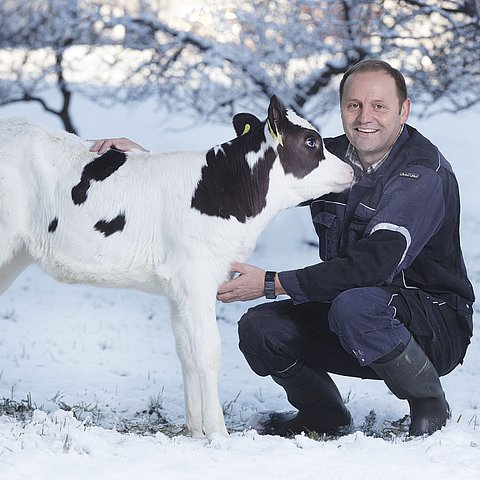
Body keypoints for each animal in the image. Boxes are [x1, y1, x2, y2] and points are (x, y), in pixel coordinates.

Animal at [0, 95, 352, 436]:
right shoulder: (196, 275)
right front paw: (218, 433)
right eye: (310, 141)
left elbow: (187, 350)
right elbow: (207, 351)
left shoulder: (178, 287)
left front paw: (195, 431)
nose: (351, 170)